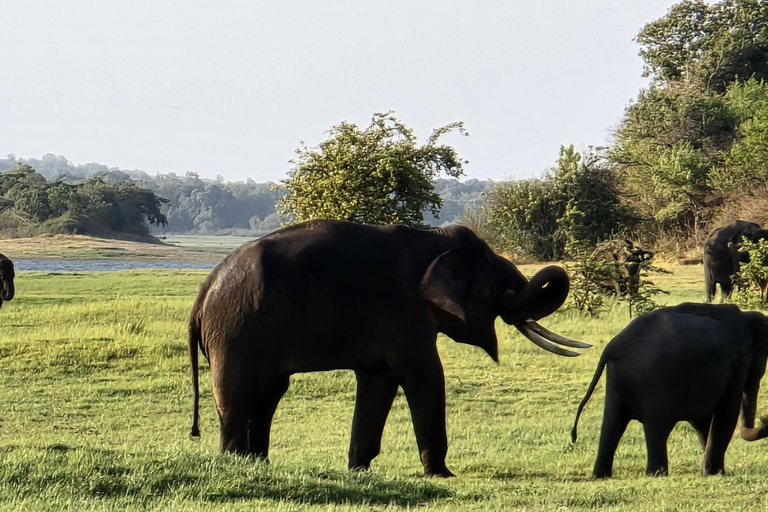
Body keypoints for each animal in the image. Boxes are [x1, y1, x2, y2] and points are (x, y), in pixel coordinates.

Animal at [188, 219, 588, 476]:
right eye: (501, 289)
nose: (513, 293)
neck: (432, 241)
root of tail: (204, 292)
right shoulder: (403, 311)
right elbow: (424, 375)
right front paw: (442, 475)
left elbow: (379, 381)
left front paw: (359, 471)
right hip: (236, 330)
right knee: (238, 395)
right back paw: (235, 463)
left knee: (268, 394)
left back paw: (257, 464)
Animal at [568, 302, 768, 478]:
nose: (764, 419)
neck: (747, 317)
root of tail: (614, 345)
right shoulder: (737, 362)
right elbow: (726, 412)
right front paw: (715, 473)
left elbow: (701, 421)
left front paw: (707, 470)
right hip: (654, 381)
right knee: (657, 427)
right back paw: (656, 473)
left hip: (617, 377)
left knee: (612, 423)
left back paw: (601, 475)